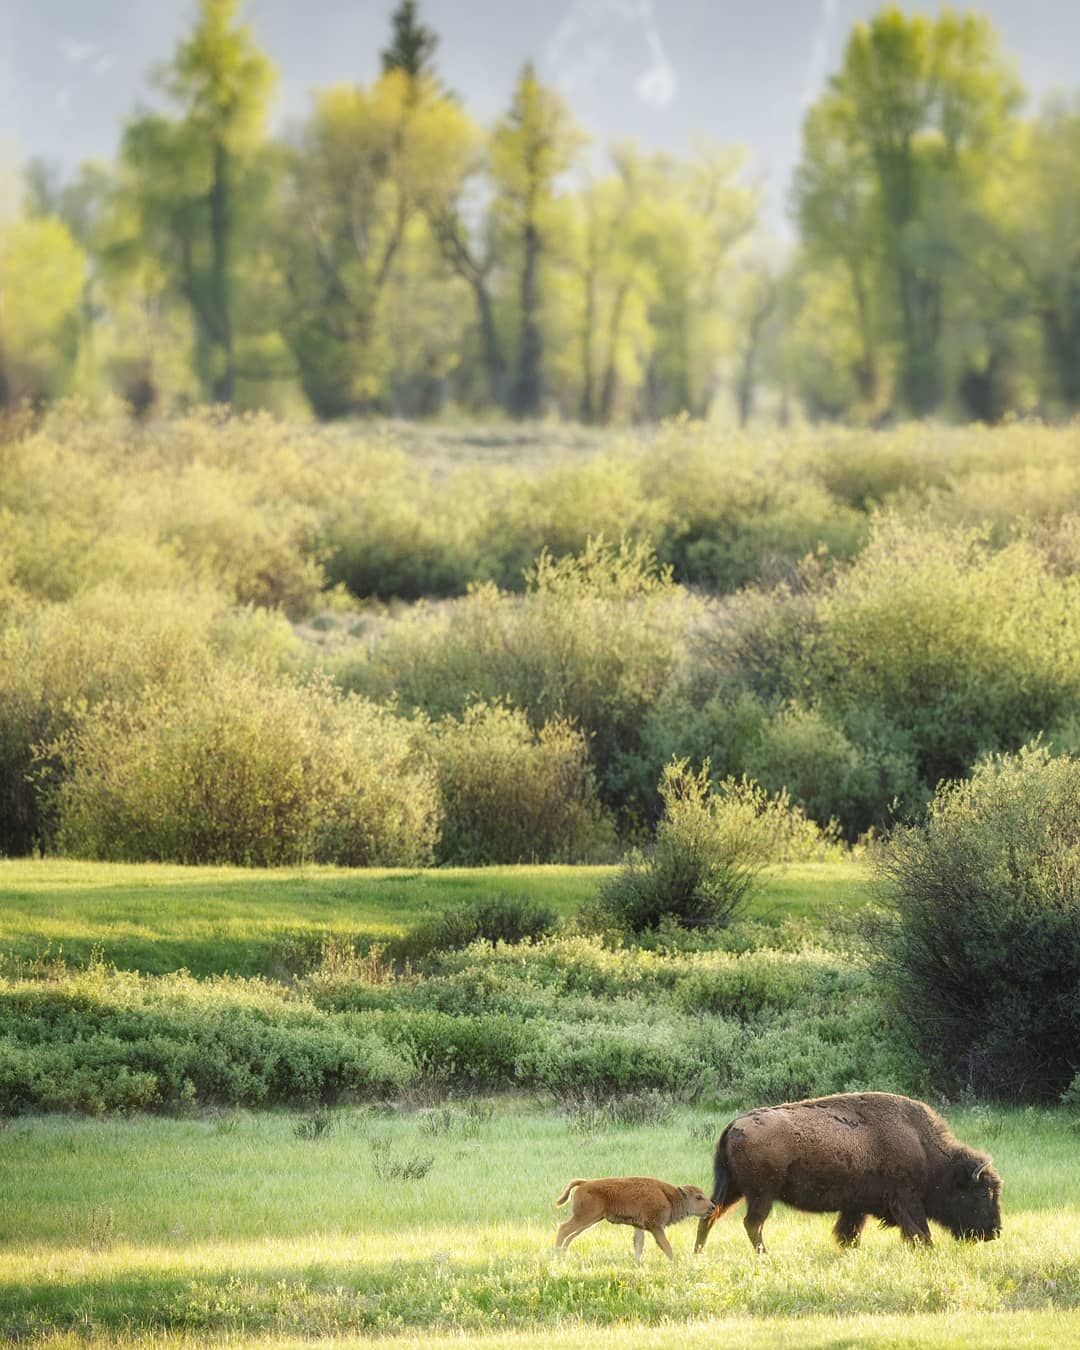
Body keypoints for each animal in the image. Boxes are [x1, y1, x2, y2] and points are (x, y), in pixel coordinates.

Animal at [553, 1177, 712, 1258]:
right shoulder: (656, 1227)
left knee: (570, 1236)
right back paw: (557, 1255)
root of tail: (585, 1183)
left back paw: (564, 1254)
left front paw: (638, 1264)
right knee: (563, 1229)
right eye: (698, 1197)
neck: (669, 1196)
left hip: (590, 1221)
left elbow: (638, 1245)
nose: (712, 1207)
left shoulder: (639, 1226)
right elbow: (666, 1247)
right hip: (585, 1218)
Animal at [696, 1085, 999, 1252]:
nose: (995, 1232)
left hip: (732, 1189)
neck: (923, 1147)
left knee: (710, 1216)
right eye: (981, 1194)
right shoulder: (907, 1199)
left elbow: (848, 1232)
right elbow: (919, 1231)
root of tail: (734, 1125)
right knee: (753, 1223)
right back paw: (764, 1255)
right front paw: (928, 1250)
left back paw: (698, 1252)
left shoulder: (856, 1206)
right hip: (761, 1194)